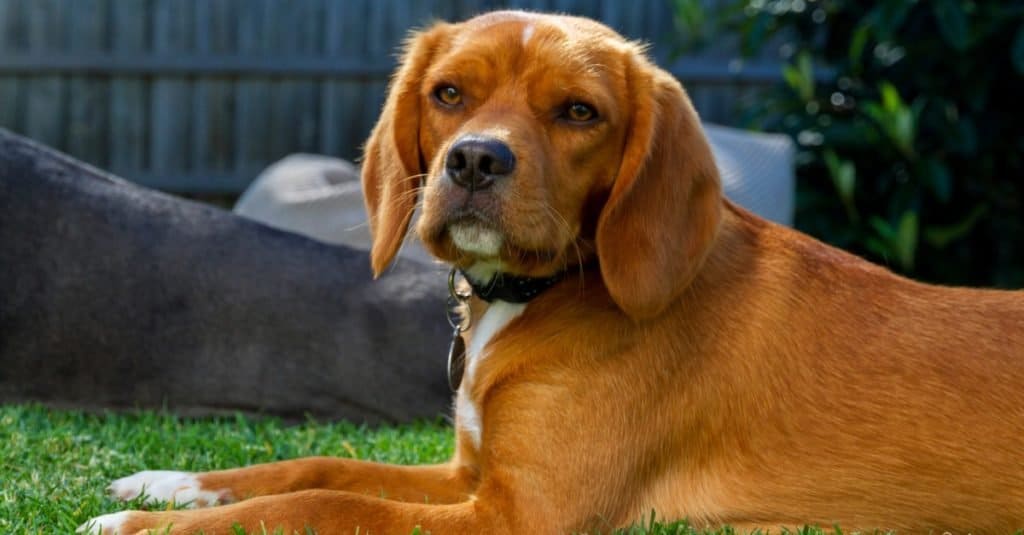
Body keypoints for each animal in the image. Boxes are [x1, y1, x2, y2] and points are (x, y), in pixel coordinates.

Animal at [83, 9, 1024, 532]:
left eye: (579, 112)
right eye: (449, 93)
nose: (473, 160)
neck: (538, 292)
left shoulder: (520, 512)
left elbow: (329, 504)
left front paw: (135, 524)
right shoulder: (471, 475)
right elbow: (315, 466)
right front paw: (169, 482)